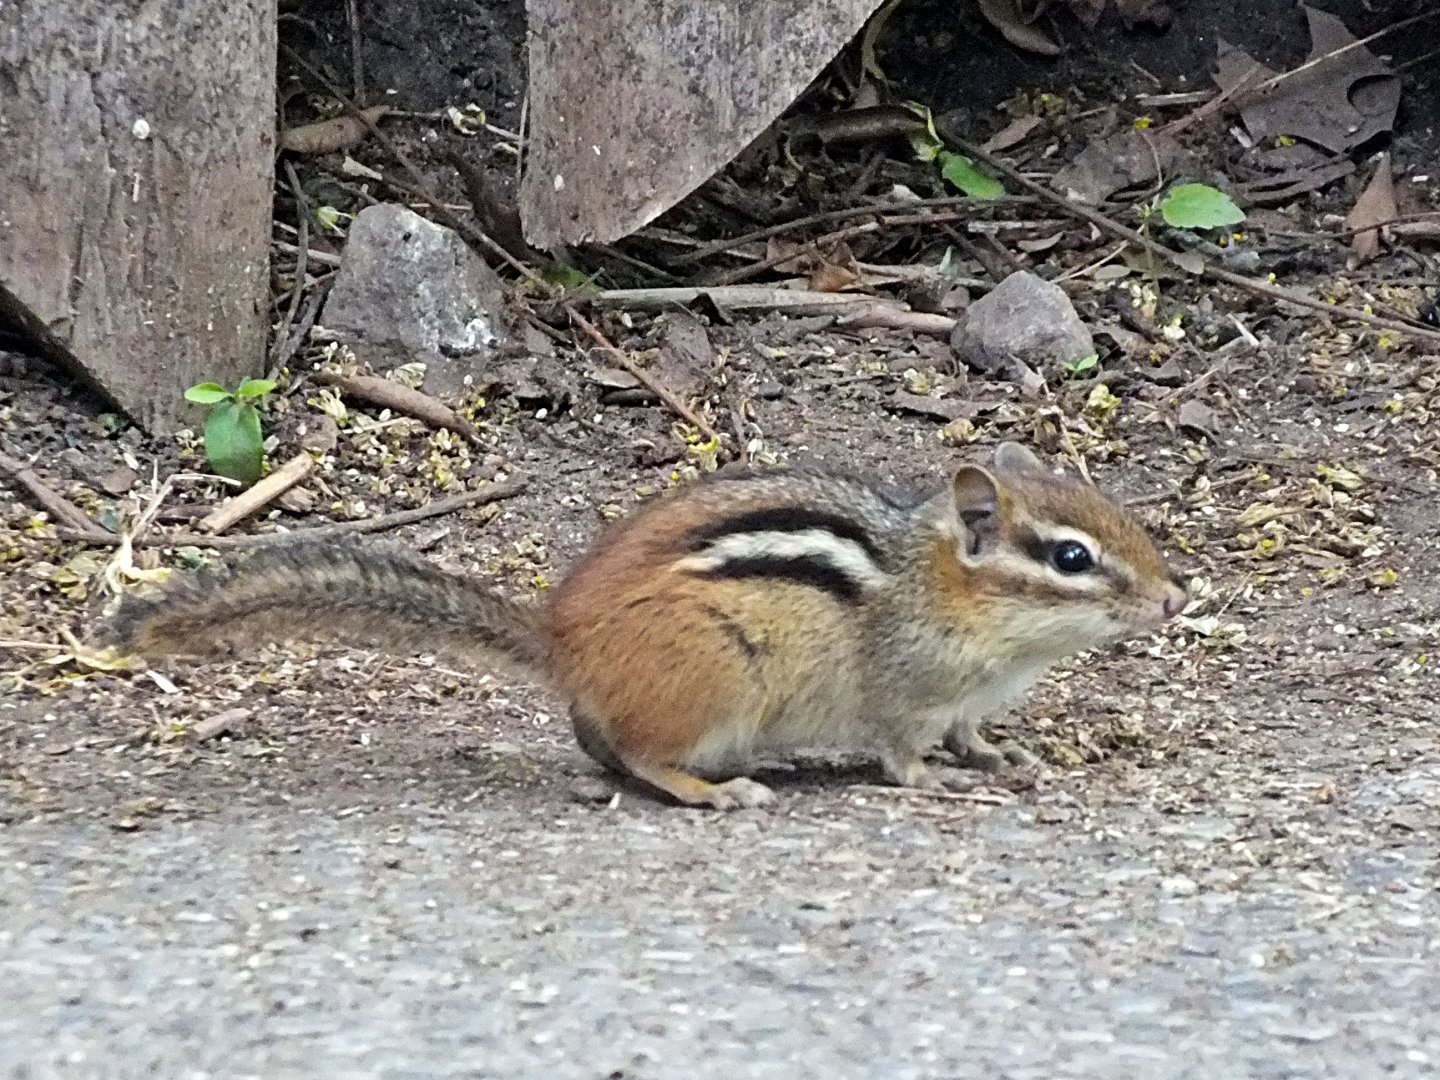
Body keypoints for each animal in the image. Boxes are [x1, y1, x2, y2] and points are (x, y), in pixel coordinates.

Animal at [106, 442, 1187, 809]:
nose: (1175, 599)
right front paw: (945, 787)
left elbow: (975, 735)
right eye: (1071, 558)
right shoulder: (904, 691)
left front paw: (1007, 758)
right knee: (638, 755)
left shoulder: (968, 698)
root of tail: (562, 637)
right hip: (720, 676)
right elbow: (904, 755)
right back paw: (718, 791)